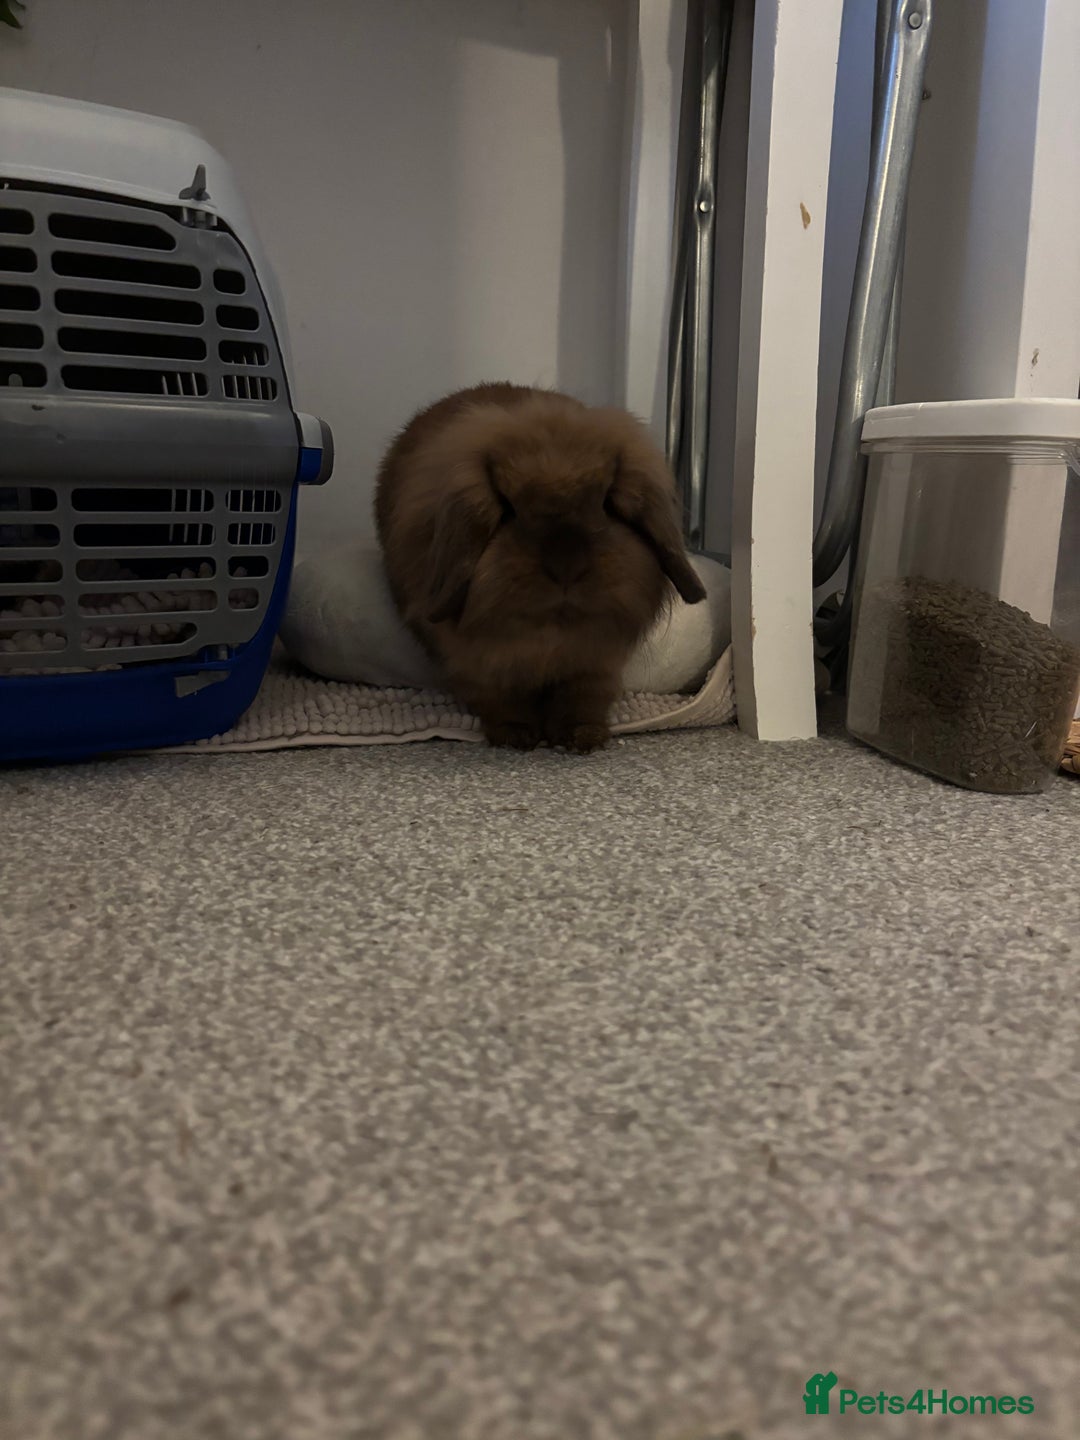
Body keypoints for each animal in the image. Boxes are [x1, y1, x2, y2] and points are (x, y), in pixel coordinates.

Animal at [374, 383, 706, 752]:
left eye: (607, 503)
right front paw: (517, 736)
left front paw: (583, 737)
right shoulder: (478, 668)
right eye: (507, 508)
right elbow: (503, 700)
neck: (551, 637)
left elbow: (581, 699)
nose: (567, 567)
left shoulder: (596, 666)